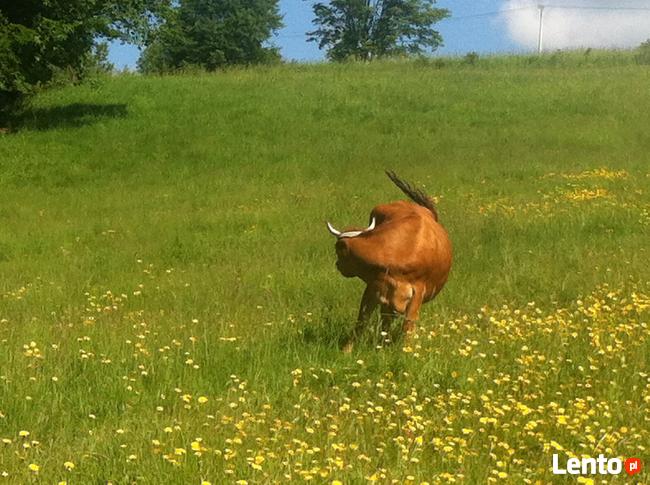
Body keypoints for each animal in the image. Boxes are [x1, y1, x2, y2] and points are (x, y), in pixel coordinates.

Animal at [324, 171, 450, 352]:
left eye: (338, 251)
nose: (338, 265)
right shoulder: (375, 287)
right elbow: (362, 319)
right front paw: (346, 350)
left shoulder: (417, 292)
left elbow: (408, 325)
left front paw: (405, 350)